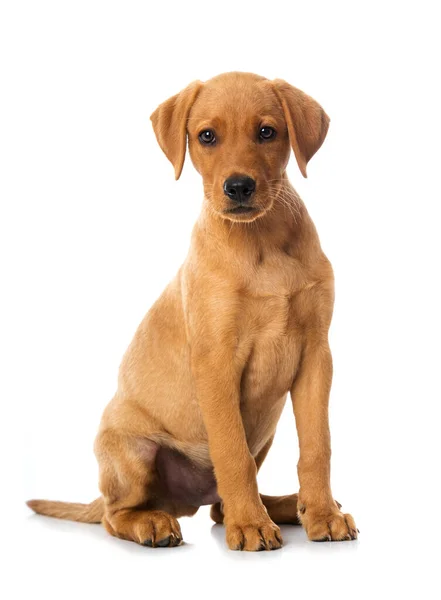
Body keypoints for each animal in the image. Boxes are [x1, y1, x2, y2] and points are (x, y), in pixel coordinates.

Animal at [27, 72, 356, 552]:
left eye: (267, 132)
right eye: (206, 136)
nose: (238, 187)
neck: (260, 241)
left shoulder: (316, 356)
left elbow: (318, 447)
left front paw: (322, 513)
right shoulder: (216, 363)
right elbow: (232, 452)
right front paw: (251, 527)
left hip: (267, 432)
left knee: (220, 506)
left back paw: (282, 505)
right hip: (132, 451)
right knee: (116, 514)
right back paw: (158, 523)